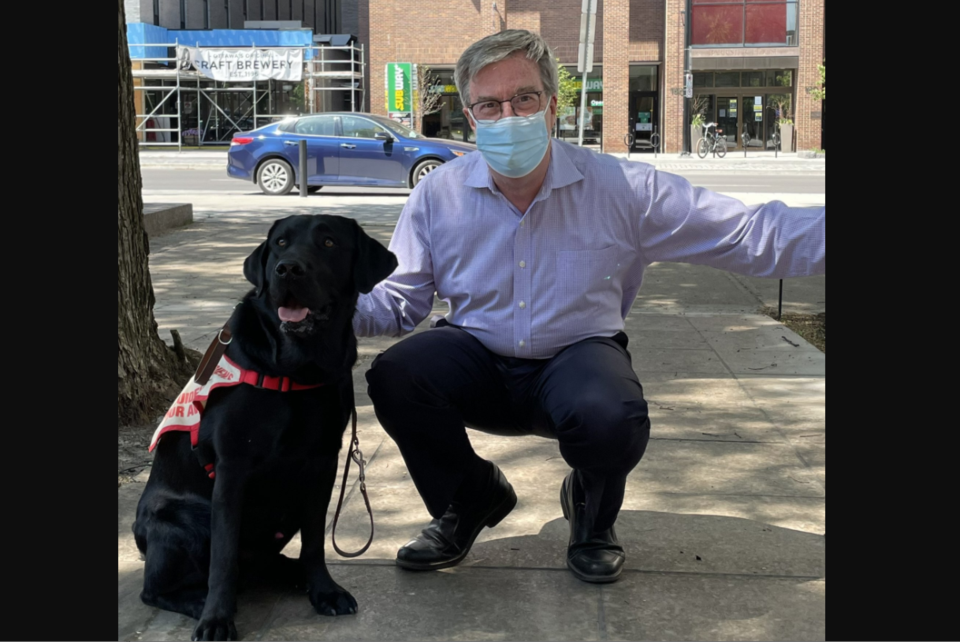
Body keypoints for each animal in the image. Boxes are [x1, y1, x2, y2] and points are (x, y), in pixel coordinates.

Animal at [133, 216, 396, 640]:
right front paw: (216, 619)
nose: (287, 269)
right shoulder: (232, 468)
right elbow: (223, 559)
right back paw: (200, 602)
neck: (299, 367)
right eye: (280, 244)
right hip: (181, 518)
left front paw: (324, 591)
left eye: (328, 242)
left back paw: (293, 574)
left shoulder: (323, 461)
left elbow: (315, 541)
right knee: (156, 589)